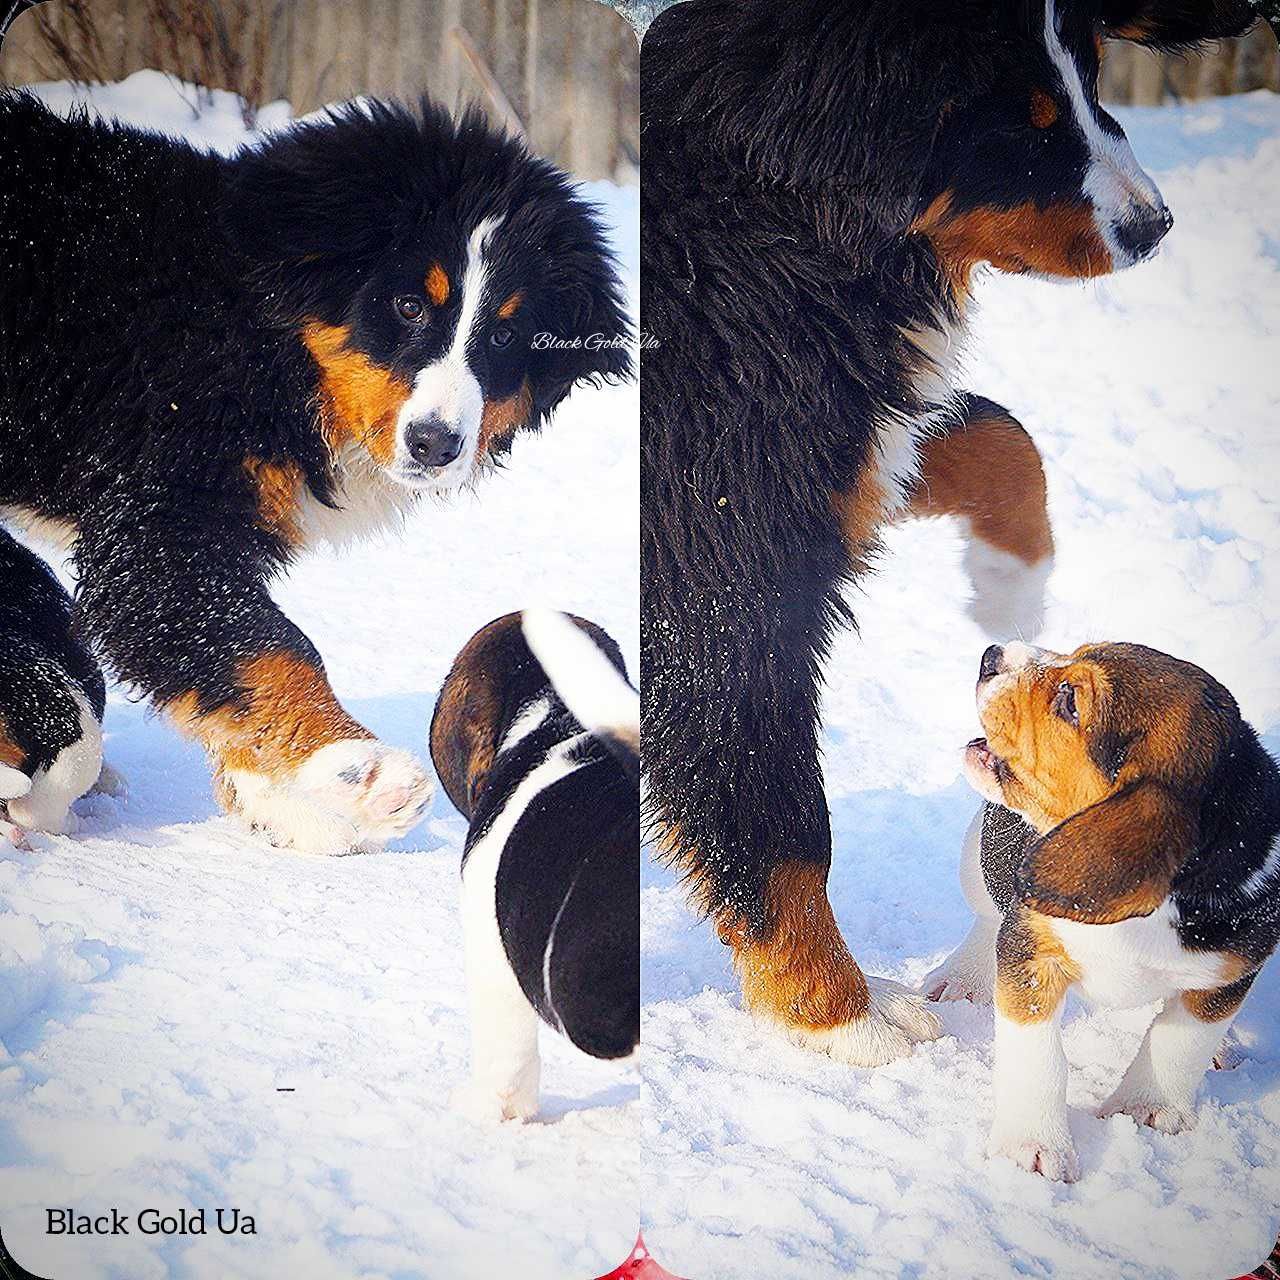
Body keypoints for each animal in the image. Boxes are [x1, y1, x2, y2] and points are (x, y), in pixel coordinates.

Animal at [645, 2, 1254, 1070]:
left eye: (1093, 75)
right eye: (1025, 124)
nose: (1154, 225)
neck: (763, 226)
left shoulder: (832, 444)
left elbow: (997, 435)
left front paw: (1011, 583)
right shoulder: (724, 561)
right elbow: (778, 813)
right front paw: (838, 1011)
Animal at [931, 640, 1280, 1177]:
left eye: (1071, 701)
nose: (993, 654)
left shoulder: (1229, 974)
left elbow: (1180, 1042)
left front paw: (1147, 1108)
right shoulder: (1031, 954)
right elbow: (1038, 1059)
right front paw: (1030, 1147)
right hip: (979, 859)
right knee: (987, 917)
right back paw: (963, 978)